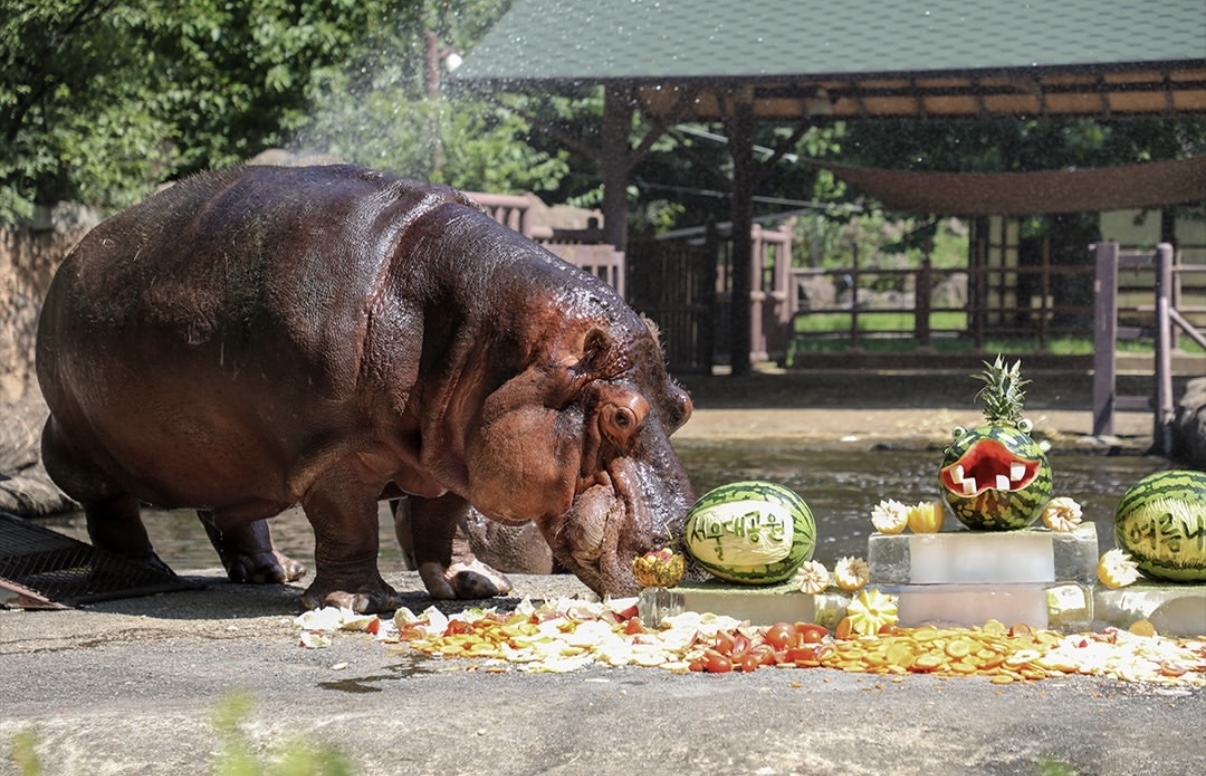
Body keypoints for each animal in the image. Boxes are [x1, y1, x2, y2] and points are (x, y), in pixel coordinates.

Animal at [36, 164, 694, 612]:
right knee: (109, 507)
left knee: (230, 512)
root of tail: (74, 256)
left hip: (227, 453)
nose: (681, 546)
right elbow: (349, 522)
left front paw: (475, 584)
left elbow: (441, 519)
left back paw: (274, 571)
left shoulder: (449, 451)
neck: (485, 336)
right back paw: (145, 567)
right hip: (76, 443)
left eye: (682, 407)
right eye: (619, 417)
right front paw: (359, 602)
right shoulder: (336, 450)